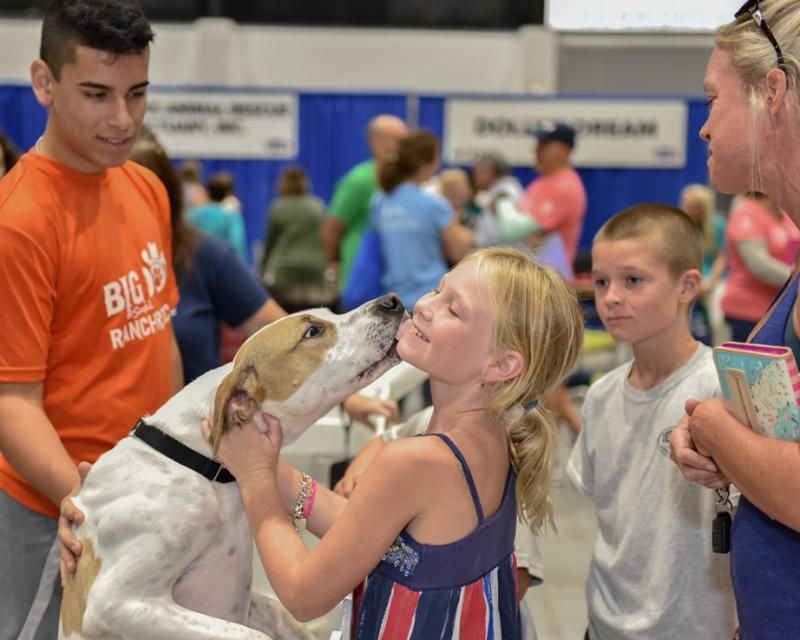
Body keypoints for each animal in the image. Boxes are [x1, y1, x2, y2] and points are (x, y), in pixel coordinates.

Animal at [61, 296, 406, 640]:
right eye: (312, 331)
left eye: (329, 313)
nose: (391, 302)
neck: (199, 464)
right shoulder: (116, 603)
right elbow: (252, 634)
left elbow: (284, 618)